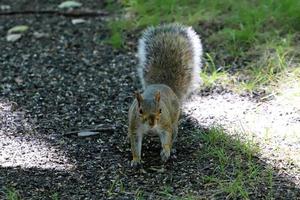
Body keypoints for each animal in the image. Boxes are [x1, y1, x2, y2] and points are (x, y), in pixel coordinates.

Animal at [127, 23, 203, 167]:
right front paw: (136, 159)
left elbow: (167, 137)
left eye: (160, 110)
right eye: (140, 111)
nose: (152, 123)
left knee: (173, 133)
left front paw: (166, 151)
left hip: (174, 121)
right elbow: (135, 144)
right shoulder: (135, 127)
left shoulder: (165, 125)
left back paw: (171, 149)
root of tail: (165, 85)